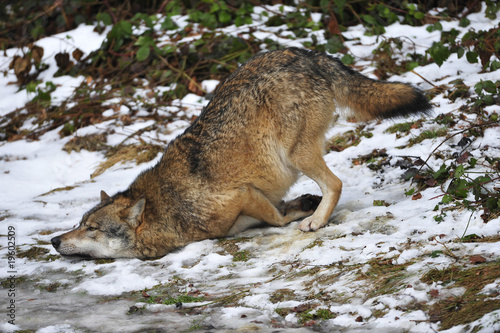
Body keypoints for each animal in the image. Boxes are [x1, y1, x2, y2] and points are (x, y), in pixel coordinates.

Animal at [52, 47, 432, 260]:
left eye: (92, 229)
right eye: (78, 224)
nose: (54, 240)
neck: (168, 207)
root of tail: (308, 55)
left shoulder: (242, 194)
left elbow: (275, 217)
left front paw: (300, 211)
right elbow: (278, 210)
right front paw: (300, 204)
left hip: (295, 155)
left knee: (335, 184)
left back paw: (316, 220)